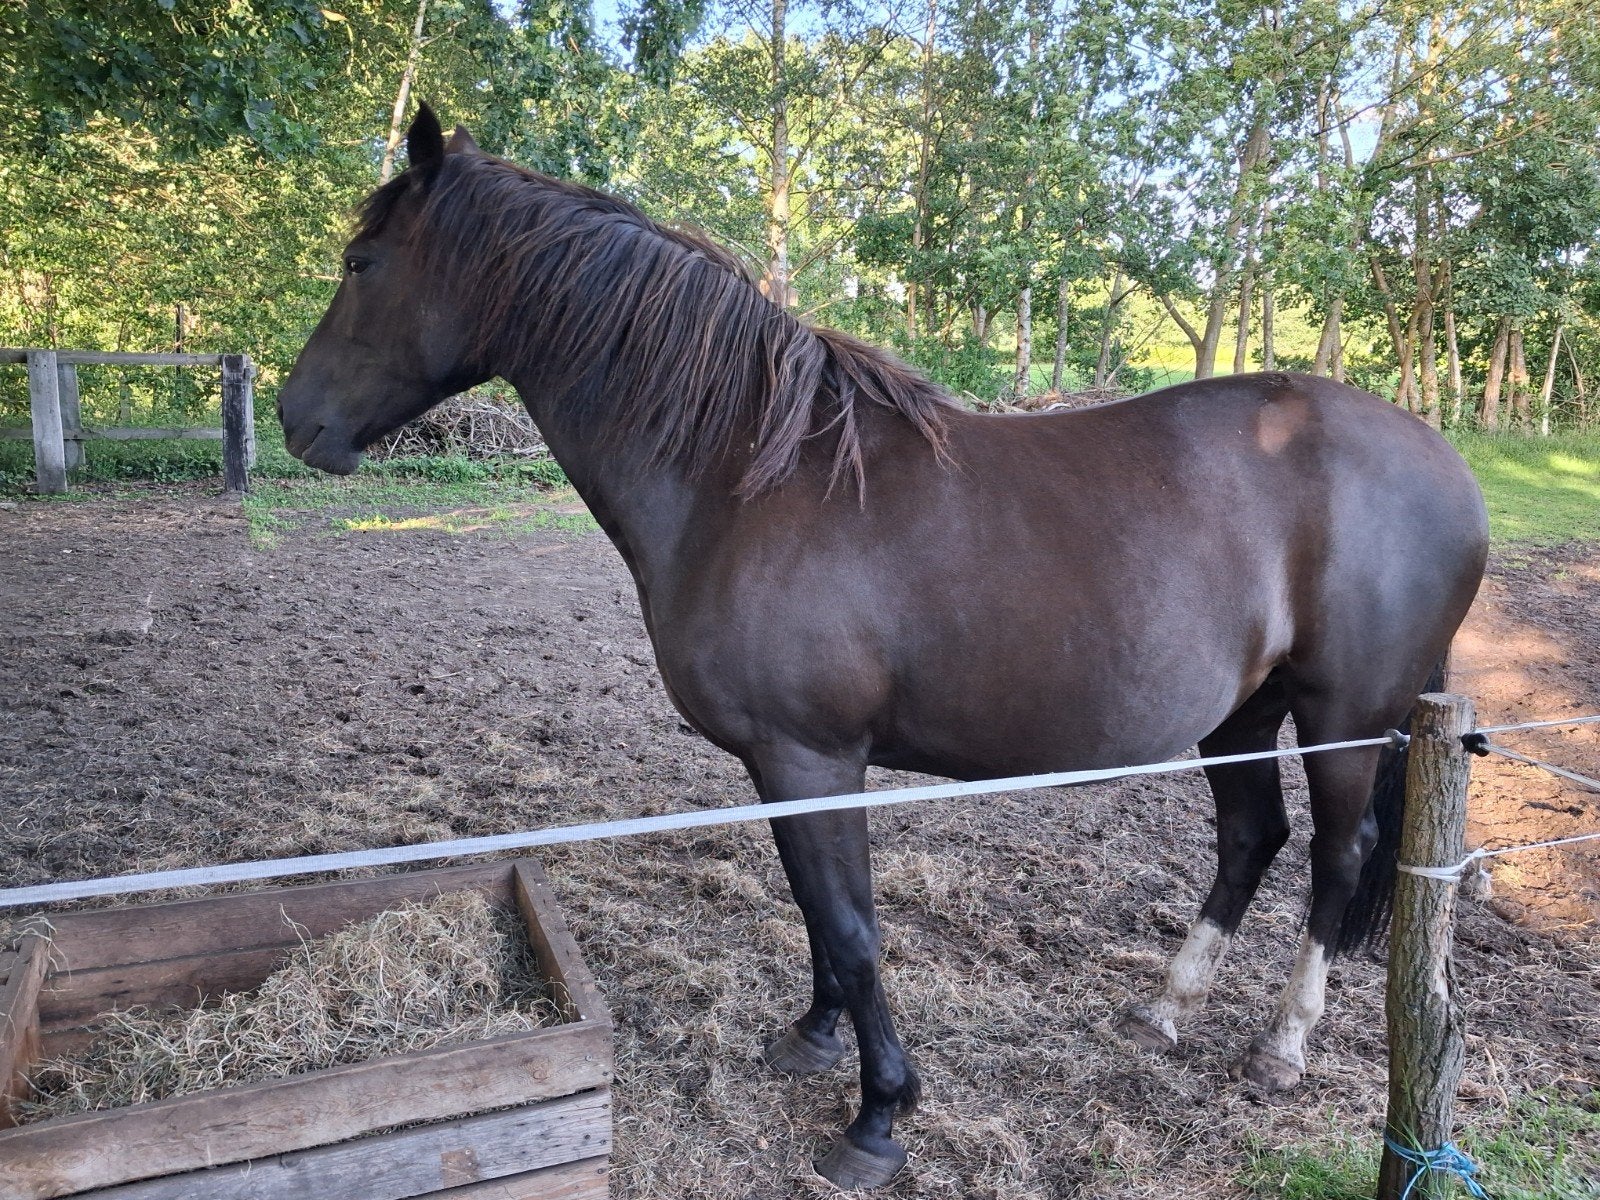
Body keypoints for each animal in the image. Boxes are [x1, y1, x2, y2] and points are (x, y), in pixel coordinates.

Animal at [277, 105, 1489, 1189]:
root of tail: (1441, 458)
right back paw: (1165, 1008)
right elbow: (816, 911)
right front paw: (813, 1039)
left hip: (1342, 719)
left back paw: (1281, 1043)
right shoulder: (783, 764)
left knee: (1335, 859)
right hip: (1240, 715)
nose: (295, 419)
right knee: (1251, 841)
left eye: (361, 260)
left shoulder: (811, 754)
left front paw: (877, 1118)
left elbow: (854, 930)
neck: (749, 475)